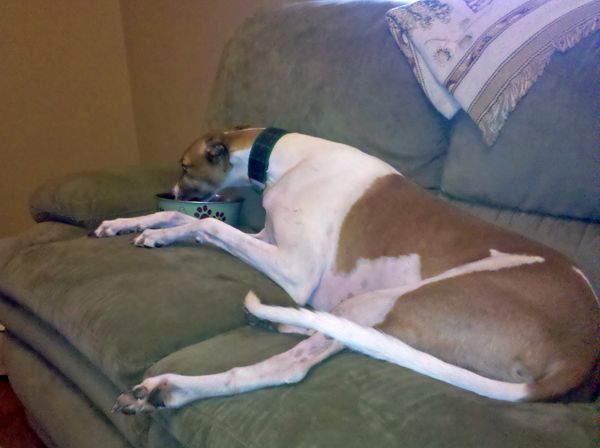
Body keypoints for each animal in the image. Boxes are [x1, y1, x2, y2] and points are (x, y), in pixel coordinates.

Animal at [91, 126, 596, 412]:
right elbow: (189, 225)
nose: (174, 192)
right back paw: (268, 321)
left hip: (382, 302)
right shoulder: (267, 240)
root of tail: (581, 353)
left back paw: (167, 389)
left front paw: (159, 226)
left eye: (184, 166)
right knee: (327, 332)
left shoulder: (294, 270)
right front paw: (136, 226)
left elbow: (209, 227)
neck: (288, 159)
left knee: (289, 365)